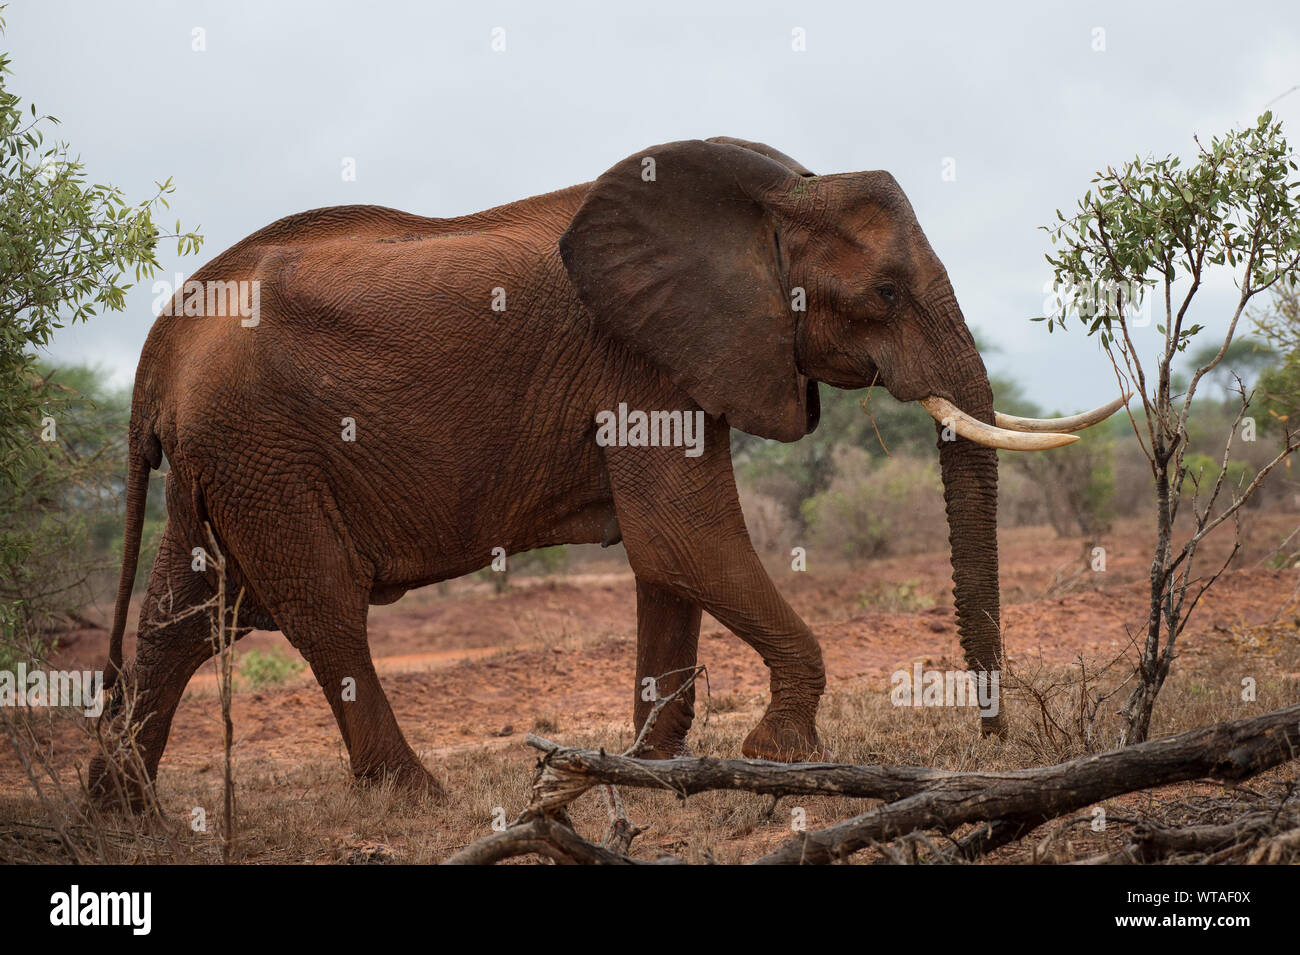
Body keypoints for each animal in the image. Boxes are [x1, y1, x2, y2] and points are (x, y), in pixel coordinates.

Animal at [91, 138, 1123, 805]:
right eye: (885, 294)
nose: (990, 739)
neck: (776, 197)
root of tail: (162, 344)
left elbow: (666, 564)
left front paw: (650, 763)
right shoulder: (640, 357)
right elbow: (683, 538)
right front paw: (779, 753)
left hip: (230, 460)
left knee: (187, 615)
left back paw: (120, 807)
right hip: (262, 449)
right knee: (323, 612)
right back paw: (418, 799)